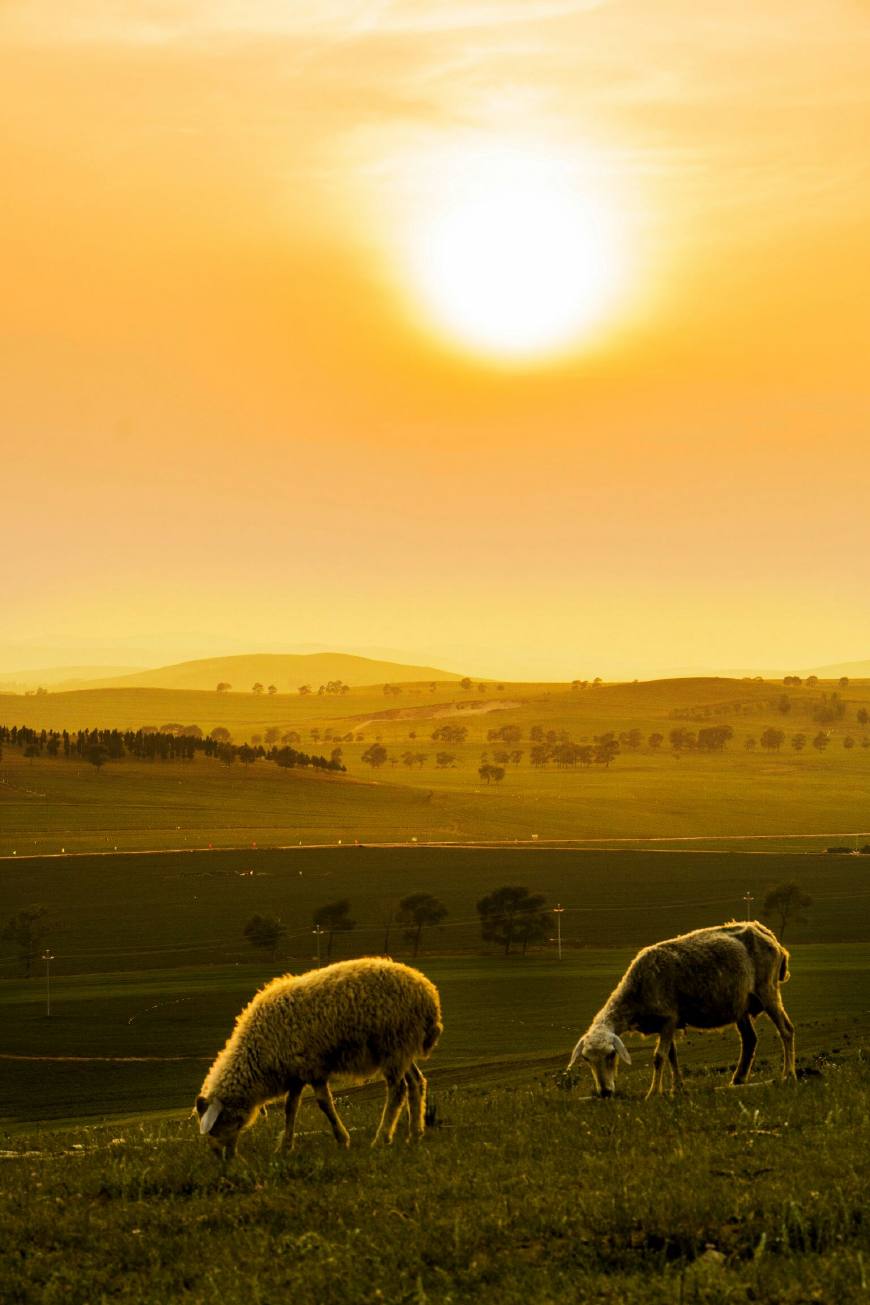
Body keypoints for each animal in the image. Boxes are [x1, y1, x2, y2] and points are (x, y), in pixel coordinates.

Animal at [196, 955, 443, 1158]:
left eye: (217, 1125)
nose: (223, 1158)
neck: (256, 1055)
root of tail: (427, 992)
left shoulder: (313, 1068)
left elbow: (324, 1103)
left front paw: (342, 1139)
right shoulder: (295, 1072)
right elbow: (290, 1108)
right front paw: (285, 1147)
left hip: (393, 1043)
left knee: (398, 1090)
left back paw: (382, 1138)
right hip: (402, 1048)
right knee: (417, 1082)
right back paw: (415, 1133)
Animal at [568, 918, 798, 1101]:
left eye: (611, 1055)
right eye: (586, 1059)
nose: (605, 1093)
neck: (635, 994)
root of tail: (767, 933)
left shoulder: (669, 1018)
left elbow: (659, 1057)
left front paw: (653, 1093)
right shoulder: (667, 1023)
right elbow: (672, 1056)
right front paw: (676, 1088)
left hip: (767, 988)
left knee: (786, 1030)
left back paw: (788, 1075)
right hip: (740, 1004)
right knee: (750, 1039)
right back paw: (738, 1080)